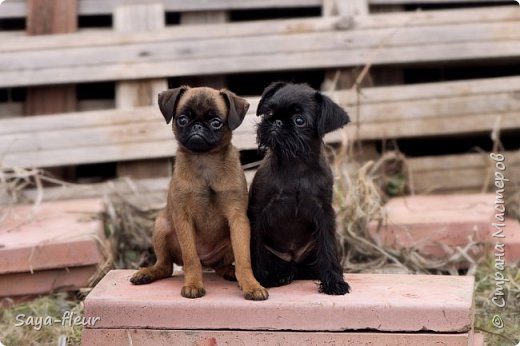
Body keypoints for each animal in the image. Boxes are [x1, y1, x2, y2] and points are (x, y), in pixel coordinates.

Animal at [130, 86, 268, 300]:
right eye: (182, 119)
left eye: (216, 122)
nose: (197, 127)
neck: (205, 162)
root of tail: (207, 261)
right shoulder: (183, 220)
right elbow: (191, 258)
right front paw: (193, 284)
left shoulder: (238, 220)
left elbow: (243, 259)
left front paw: (251, 285)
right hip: (161, 227)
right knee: (166, 266)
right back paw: (147, 273)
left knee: (221, 265)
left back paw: (230, 272)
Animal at [248, 82, 350, 294]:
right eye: (268, 111)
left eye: (299, 120)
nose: (276, 121)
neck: (295, 164)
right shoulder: (257, 213)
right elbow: (256, 249)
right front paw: (261, 279)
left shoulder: (324, 214)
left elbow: (328, 249)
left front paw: (334, 281)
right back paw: (280, 275)